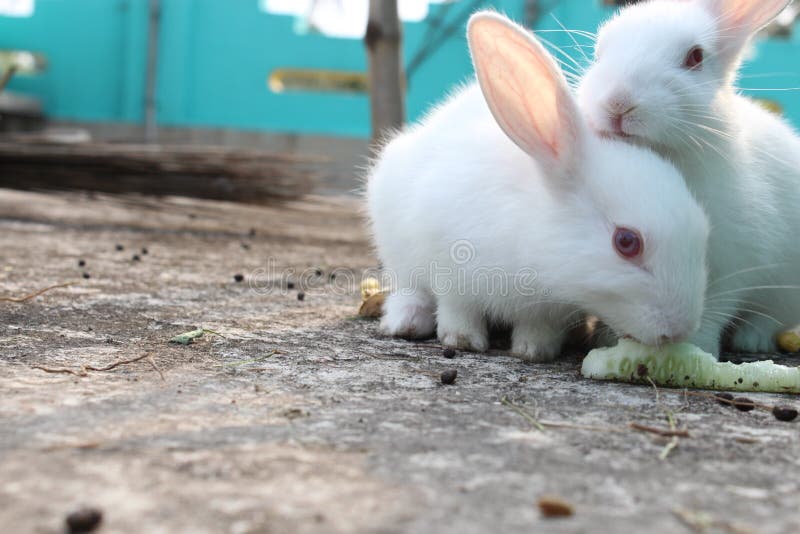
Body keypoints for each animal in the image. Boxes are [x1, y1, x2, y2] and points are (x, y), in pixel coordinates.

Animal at [365, 11, 710, 362]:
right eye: (626, 242)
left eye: (703, 232)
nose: (679, 330)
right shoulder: (448, 263)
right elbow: (458, 309)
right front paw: (463, 339)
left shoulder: (549, 310)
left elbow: (538, 326)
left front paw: (535, 350)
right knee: (408, 286)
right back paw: (407, 321)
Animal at [578, 0, 800, 356]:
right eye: (598, 53)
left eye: (695, 57)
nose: (618, 102)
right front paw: (610, 338)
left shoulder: (734, 261)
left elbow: (715, 308)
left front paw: (698, 348)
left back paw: (752, 338)